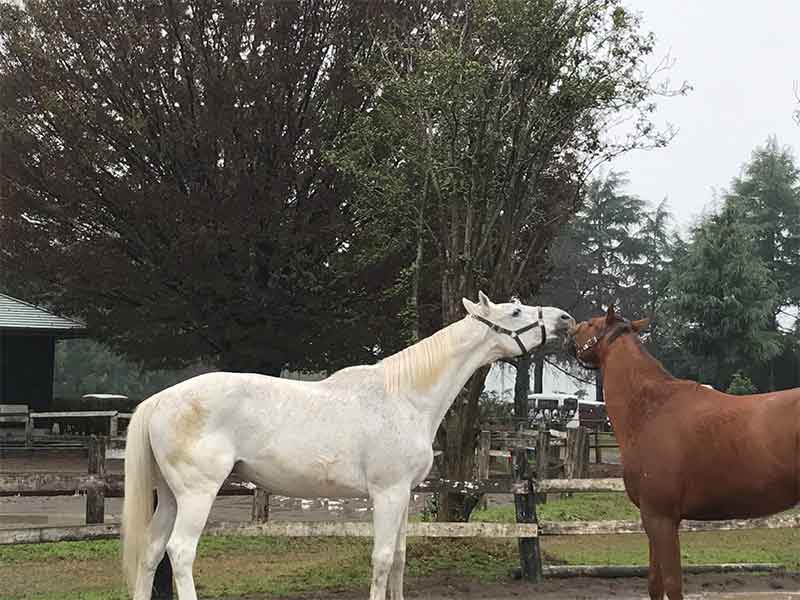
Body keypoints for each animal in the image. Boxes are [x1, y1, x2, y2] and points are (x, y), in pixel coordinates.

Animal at [122, 290, 572, 596]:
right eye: (515, 311)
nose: (565, 319)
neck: (404, 395)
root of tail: (161, 399)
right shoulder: (388, 494)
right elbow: (382, 559)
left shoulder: (404, 495)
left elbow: (400, 559)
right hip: (197, 494)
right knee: (180, 552)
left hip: (170, 497)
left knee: (152, 551)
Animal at [564, 310, 800, 600]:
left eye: (590, 324)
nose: (568, 330)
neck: (649, 411)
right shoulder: (652, 519)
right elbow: (655, 583)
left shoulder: (662, 518)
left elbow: (672, 583)